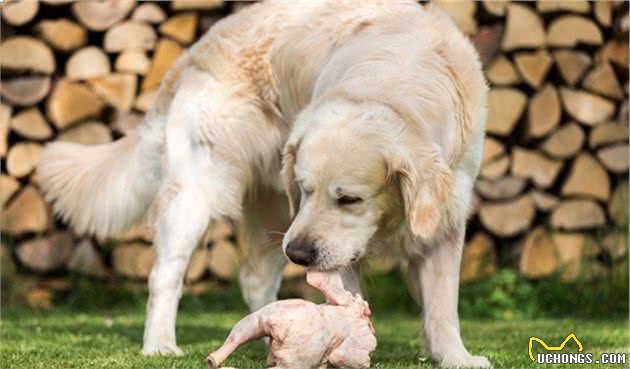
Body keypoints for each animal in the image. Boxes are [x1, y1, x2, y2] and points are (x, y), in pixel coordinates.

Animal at [37, 2, 492, 366]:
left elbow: (442, 306)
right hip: (199, 195)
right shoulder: (332, 245)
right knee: (165, 274)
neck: (394, 81)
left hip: (274, 206)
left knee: (255, 279)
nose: (299, 254)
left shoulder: (446, 215)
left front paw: (456, 358)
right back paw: (161, 344)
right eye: (306, 189)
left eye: (350, 199)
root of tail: (198, 49)